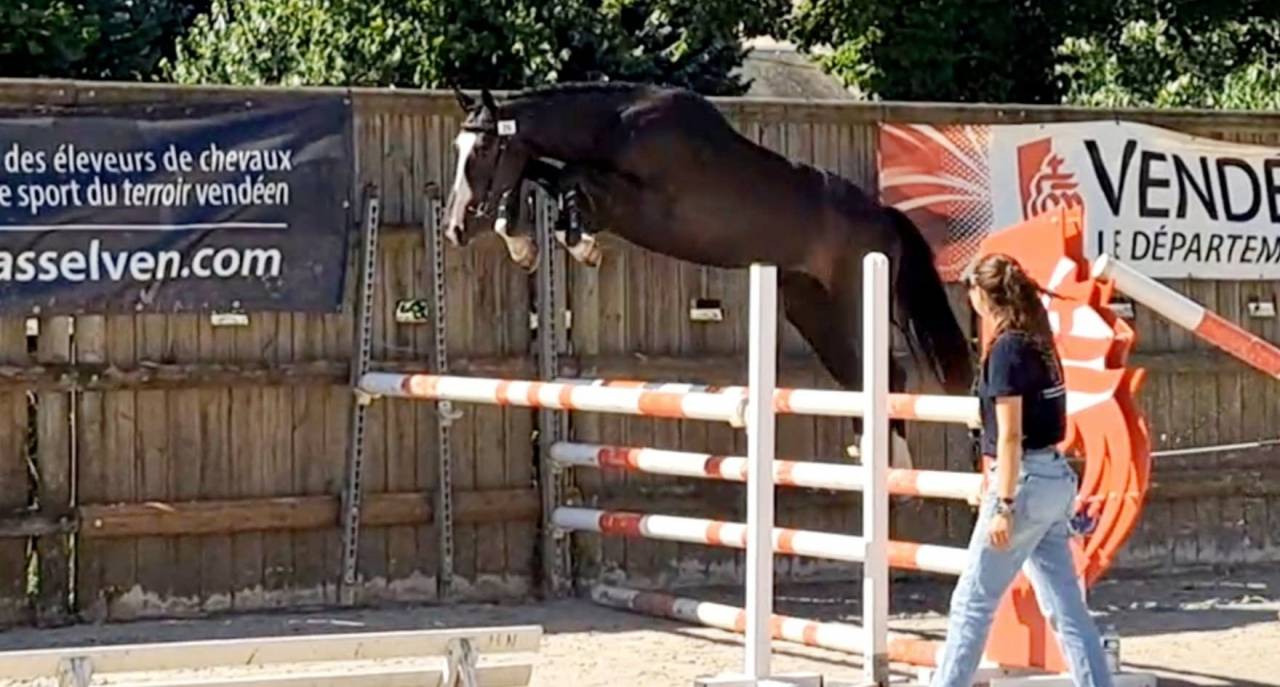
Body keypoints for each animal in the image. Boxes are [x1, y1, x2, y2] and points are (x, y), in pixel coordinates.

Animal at [441, 83, 976, 468]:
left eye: (483, 149)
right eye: (458, 147)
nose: (454, 226)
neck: (617, 127)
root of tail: (885, 216)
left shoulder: (640, 207)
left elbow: (568, 176)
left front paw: (580, 245)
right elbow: (543, 170)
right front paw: (522, 242)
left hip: (855, 299)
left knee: (889, 372)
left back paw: (893, 463)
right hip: (810, 307)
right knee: (860, 376)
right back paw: (870, 457)